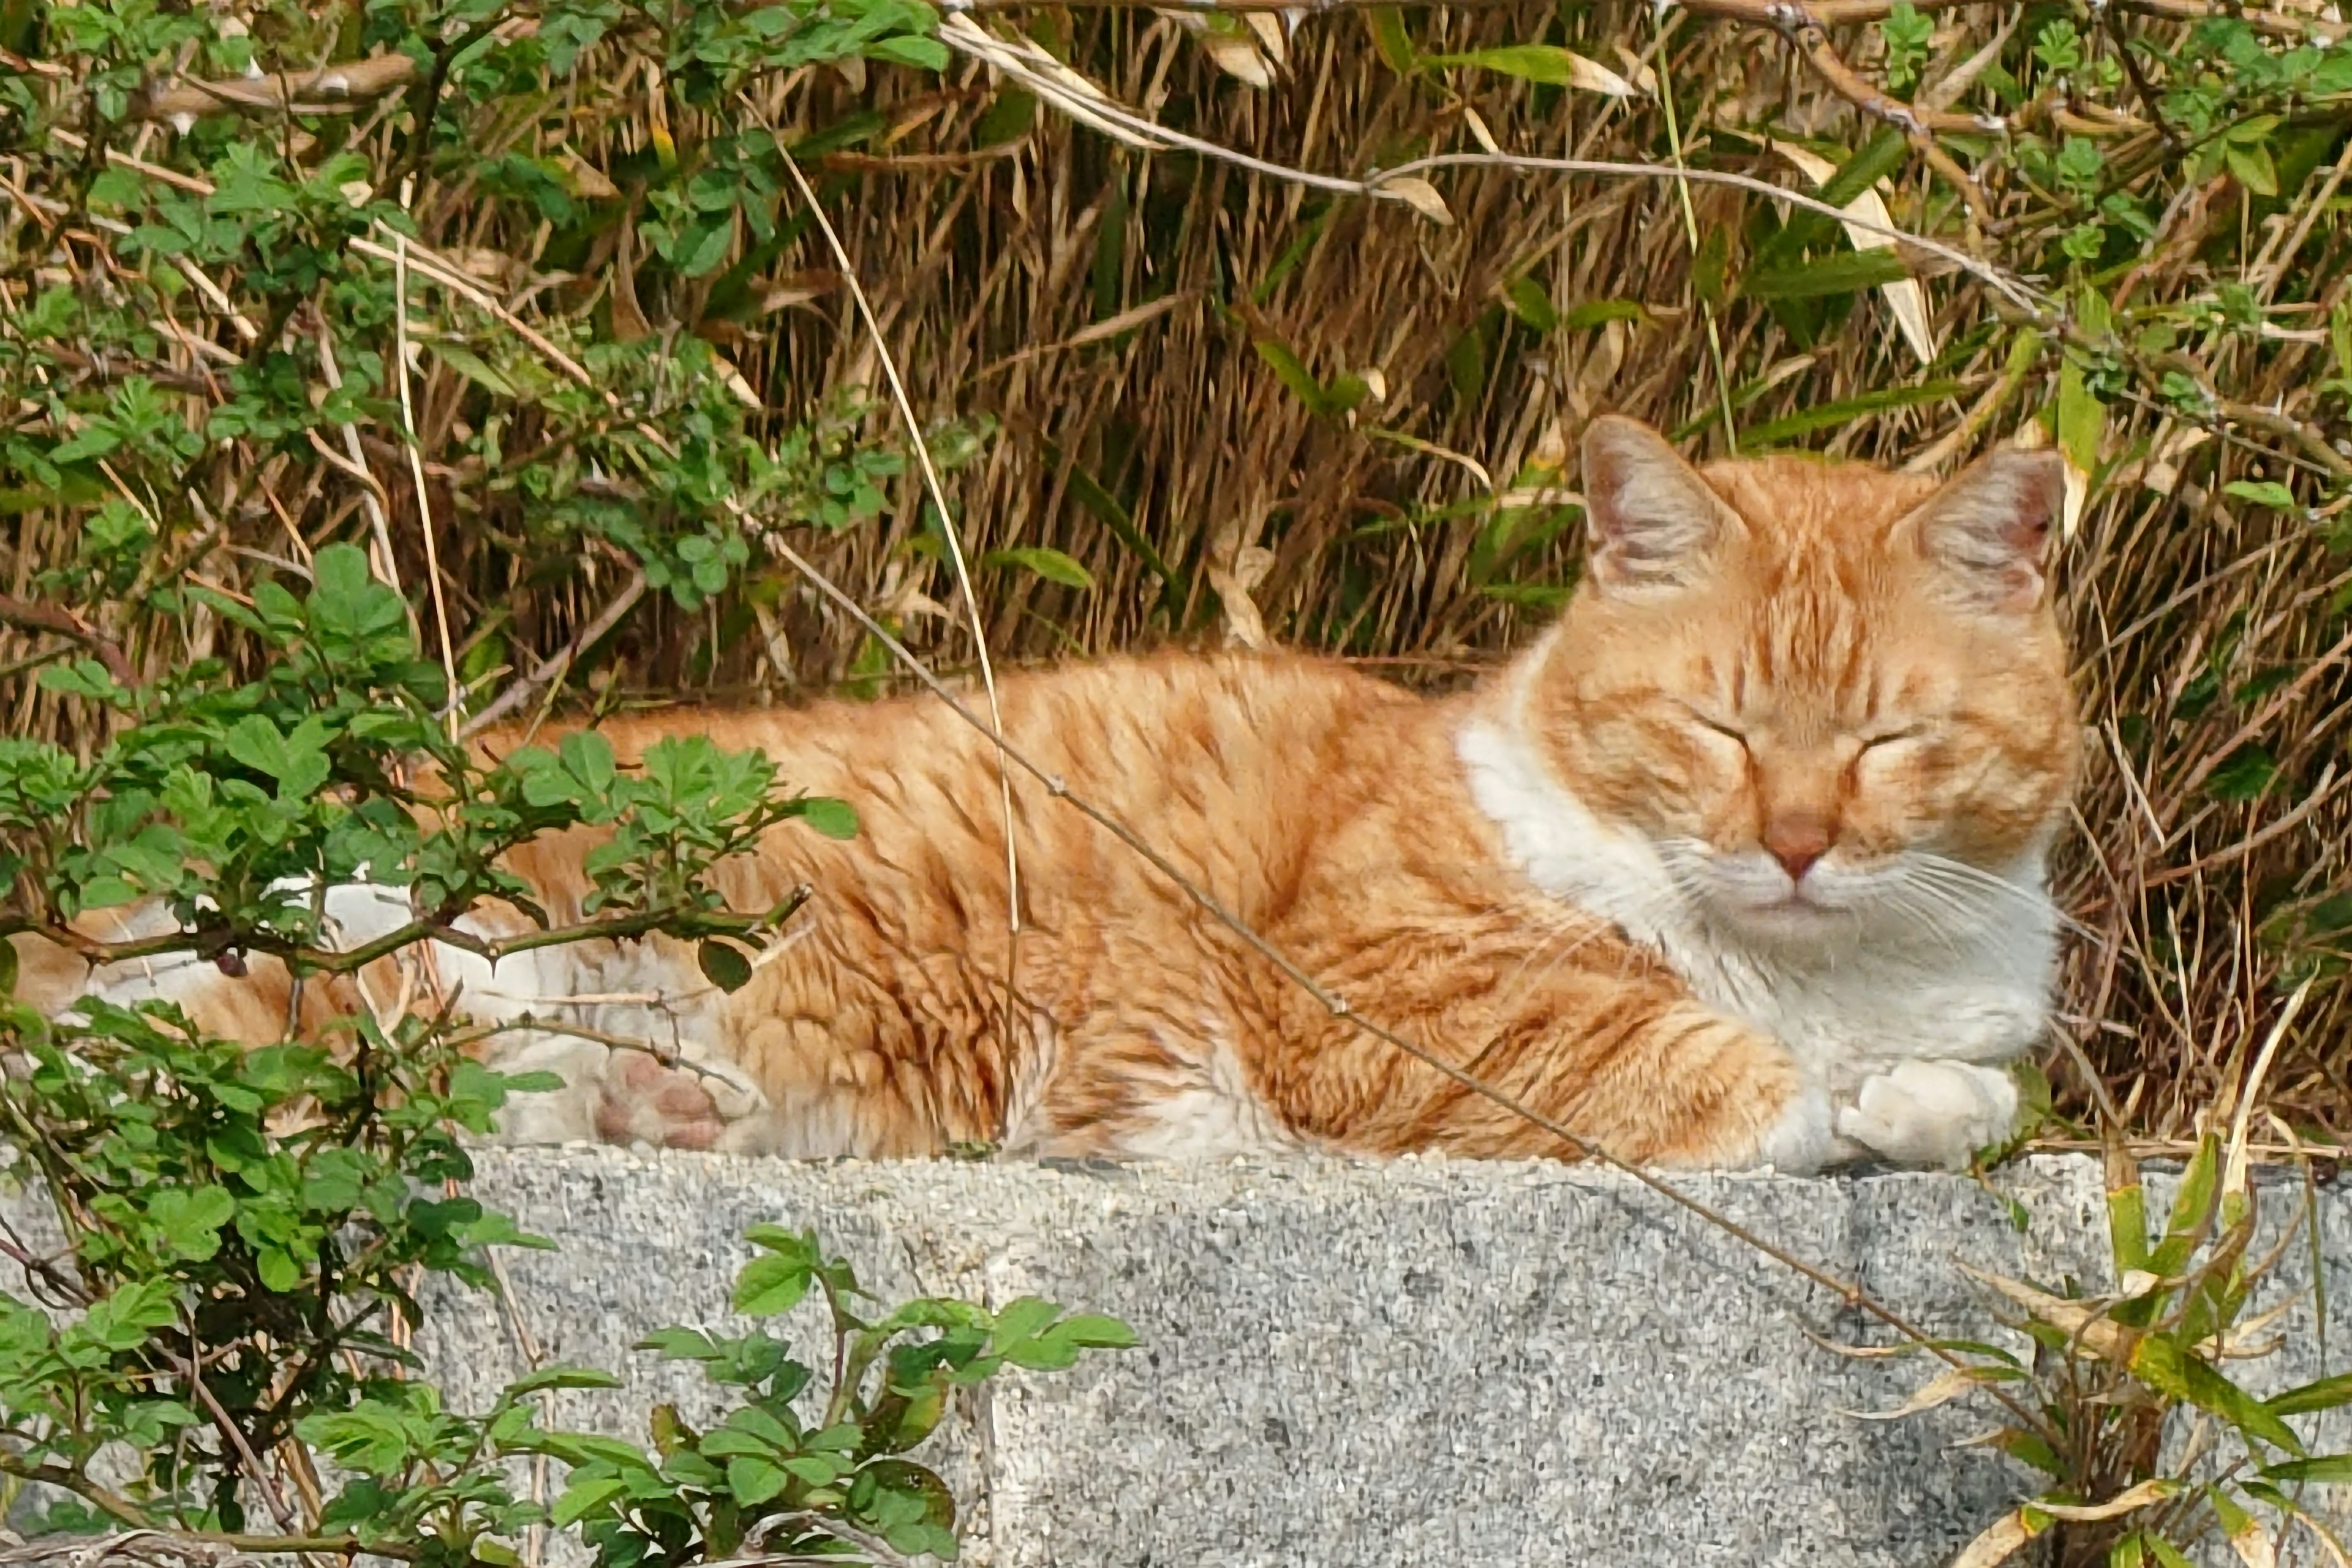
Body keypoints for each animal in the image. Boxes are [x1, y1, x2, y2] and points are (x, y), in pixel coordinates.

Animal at [18, 411, 2079, 1170]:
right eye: (1719, 733)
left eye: (1885, 743)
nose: (1793, 844)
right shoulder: (1393, 1004)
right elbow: (1711, 1068)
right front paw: (1855, 1099)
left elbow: (1961, 1086)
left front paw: (1931, 1095)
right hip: (340, 957)